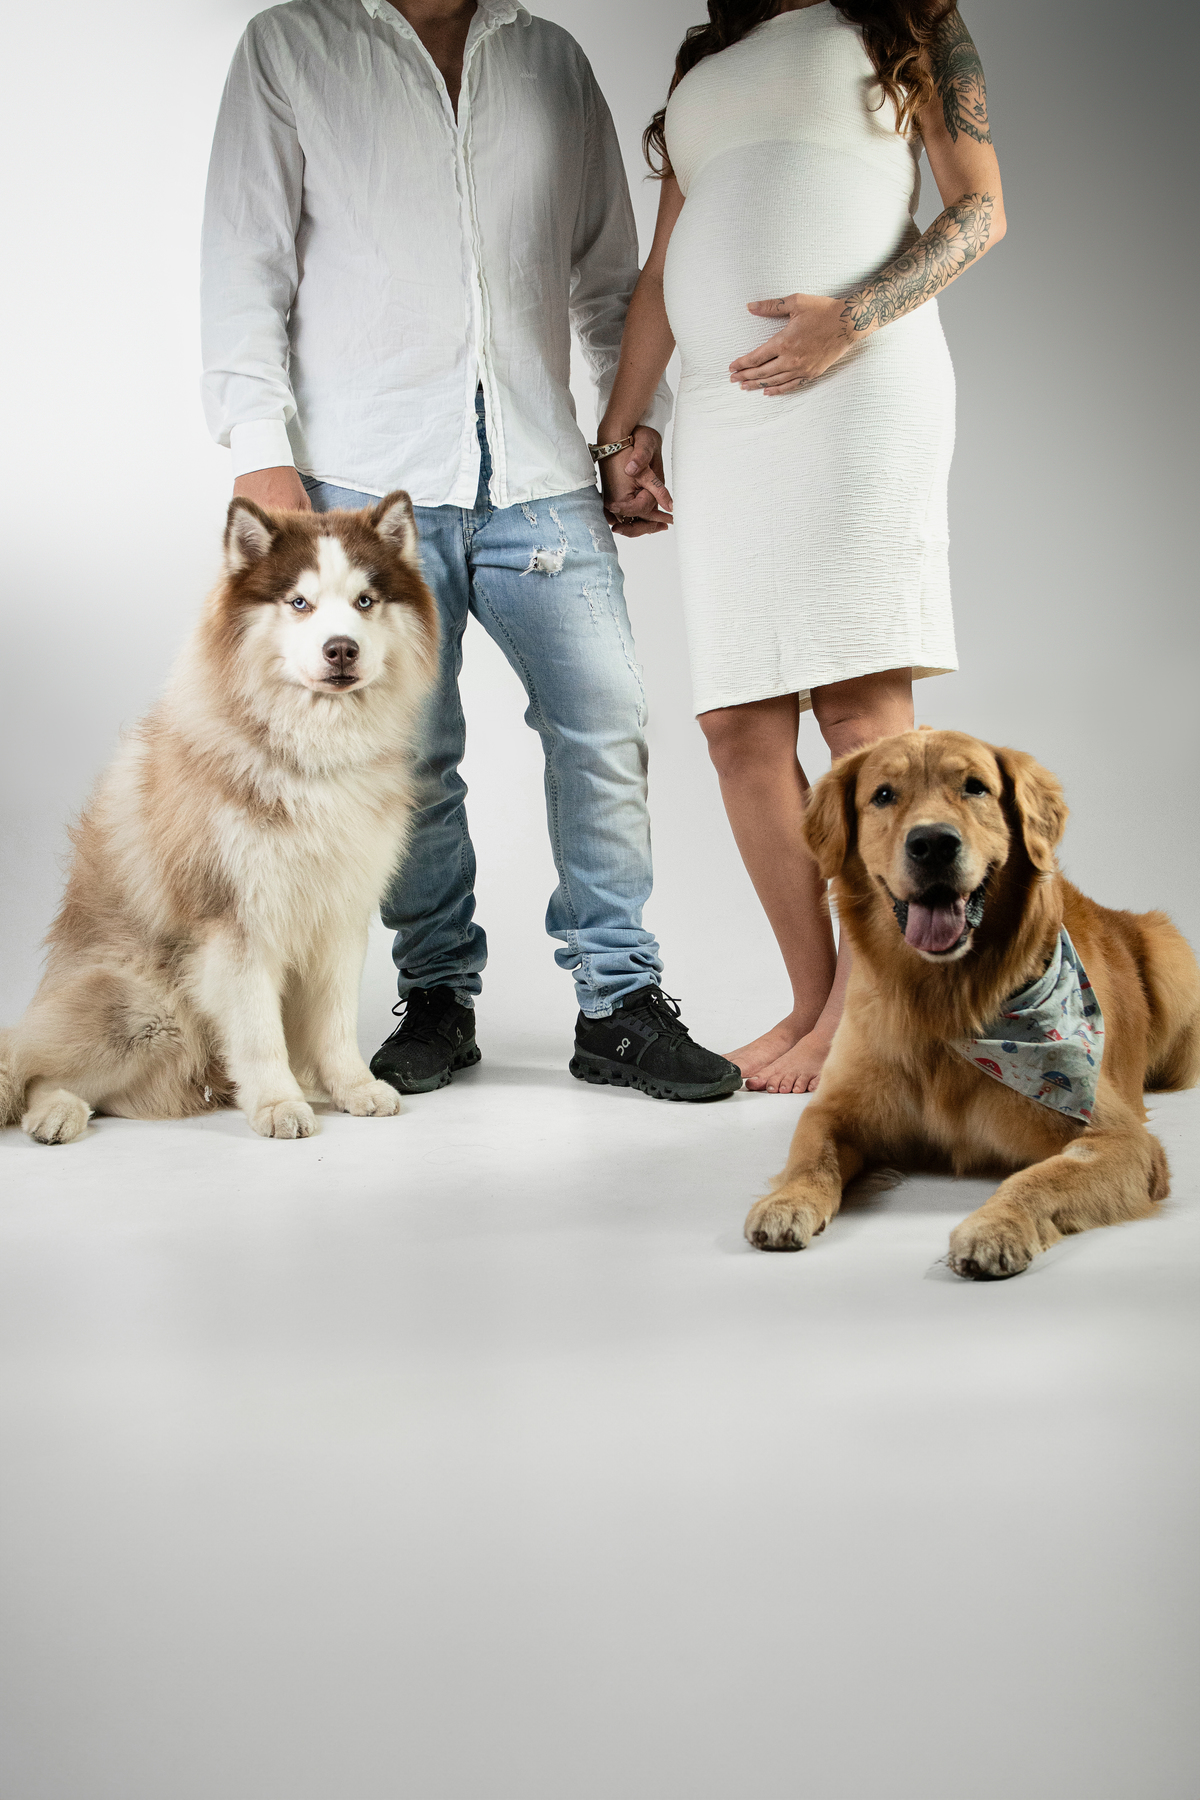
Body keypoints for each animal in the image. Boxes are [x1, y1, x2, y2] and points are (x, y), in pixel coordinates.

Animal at [0, 493, 438, 1143]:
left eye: (365, 601)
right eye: (299, 602)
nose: (341, 648)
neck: (310, 759)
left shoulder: (341, 912)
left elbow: (335, 1021)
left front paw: (354, 1088)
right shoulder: (235, 920)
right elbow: (258, 1032)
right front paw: (279, 1103)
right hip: (141, 1009)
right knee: (33, 1068)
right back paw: (56, 1113)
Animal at [744, 729, 1200, 1277]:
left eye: (975, 787)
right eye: (883, 794)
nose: (933, 843)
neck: (942, 1002)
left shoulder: (1120, 1138)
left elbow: (1038, 1178)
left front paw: (995, 1228)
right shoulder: (836, 1107)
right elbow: (811, 1156)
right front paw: (785, 1203)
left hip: (1171, 955)